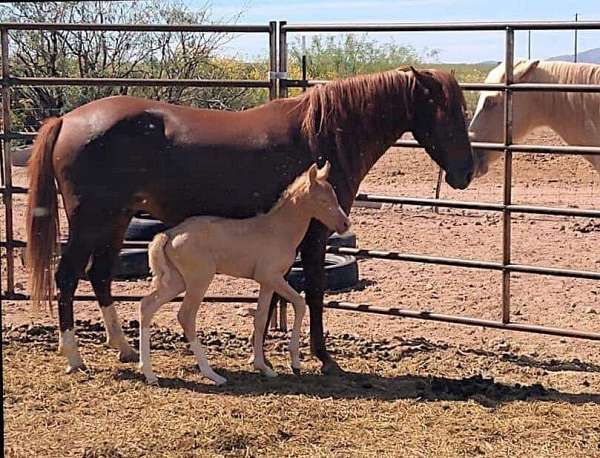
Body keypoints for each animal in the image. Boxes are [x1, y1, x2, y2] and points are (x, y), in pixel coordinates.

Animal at [138, 163, 350, 384]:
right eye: (323, 200)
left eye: (334, 195)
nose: (345, 224)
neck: (278, 230)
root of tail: (169, 234)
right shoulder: (272, 277)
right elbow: (298, 304)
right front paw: (293, 361)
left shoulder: (267, 283)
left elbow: (262, 318)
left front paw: (264, 367)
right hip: (199, 280)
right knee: (186, 316)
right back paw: (211, 374)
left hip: (177, 281)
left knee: (147, 305)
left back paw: (149, 373)